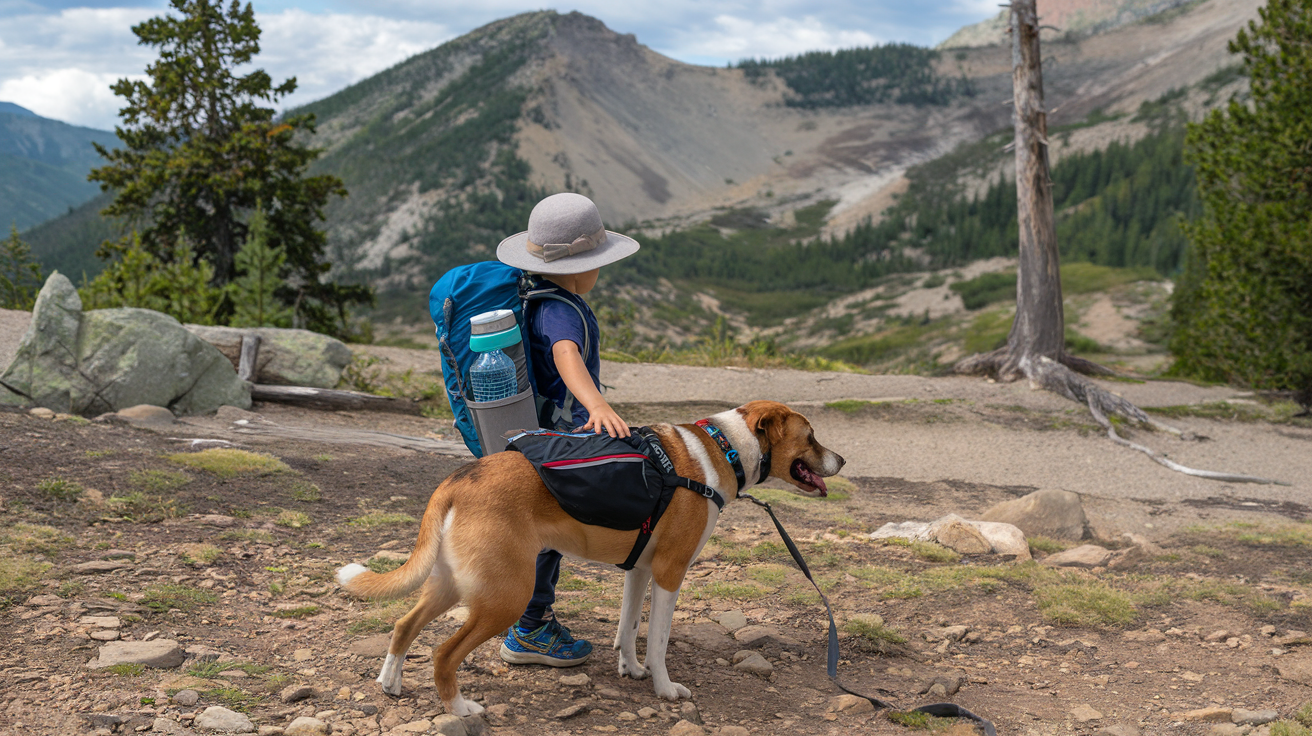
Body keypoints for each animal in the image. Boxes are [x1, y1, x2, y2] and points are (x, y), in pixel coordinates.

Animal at [338, 398, 844, 713]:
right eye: (811, 436)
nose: (841, 461)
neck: (726, 448)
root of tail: (459, 478)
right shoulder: (670, 573)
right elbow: (658, 641)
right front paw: (664, 688)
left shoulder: (640, 570)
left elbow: (629, 628)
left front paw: (631, 670)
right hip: (506, 596)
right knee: (443, 655)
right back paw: (460, 709)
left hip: (451, 583)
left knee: (404, 625)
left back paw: (391, 683)